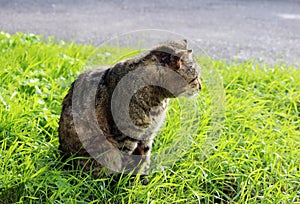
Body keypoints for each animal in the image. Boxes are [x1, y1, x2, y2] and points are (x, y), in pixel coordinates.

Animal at [58, 39, 202, 176]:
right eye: (195, 78)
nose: (200, 87)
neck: (157, 103)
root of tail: (63, 158)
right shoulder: (125, 137)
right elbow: (125, 161)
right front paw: (123, 182)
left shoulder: (147, 135)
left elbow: (144, 160)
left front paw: (141, 180)